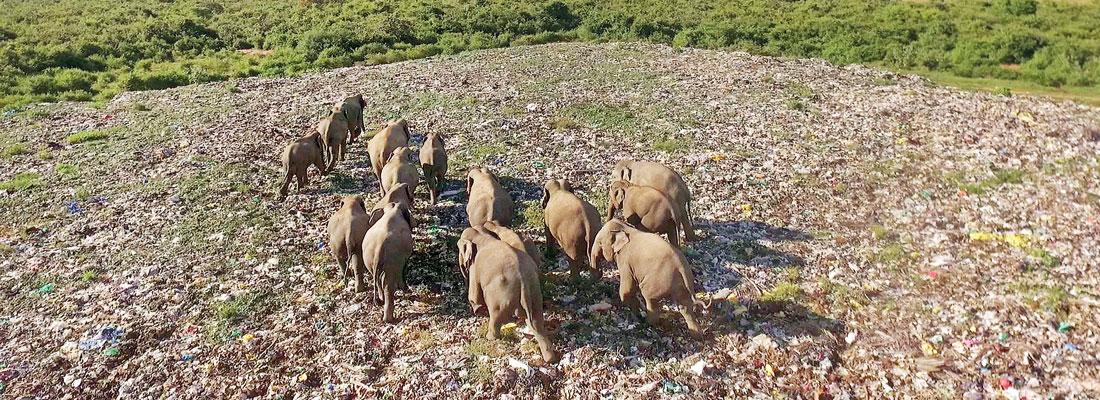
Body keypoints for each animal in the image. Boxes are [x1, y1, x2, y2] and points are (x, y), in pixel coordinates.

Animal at [455, 226, 558, 364]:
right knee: (536, 320)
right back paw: (550, 359)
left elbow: (474, 294)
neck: (483, 236)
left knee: (495, 315)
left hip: (500, 295)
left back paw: (489, 337)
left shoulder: (474, 269)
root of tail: (523, 279)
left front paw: (477, 309)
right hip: (535, 293)